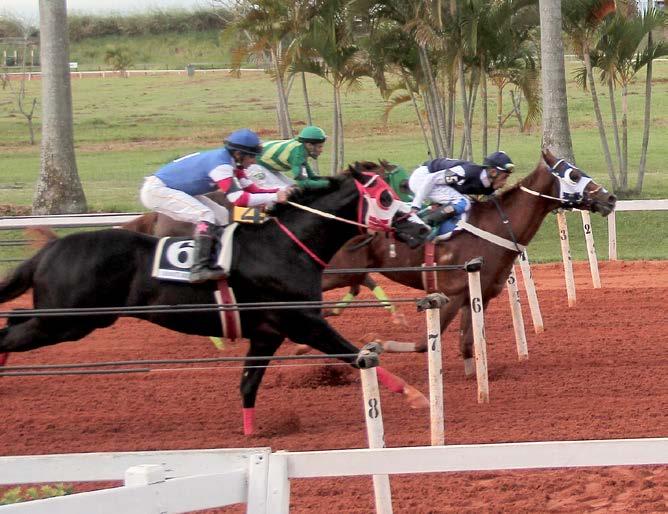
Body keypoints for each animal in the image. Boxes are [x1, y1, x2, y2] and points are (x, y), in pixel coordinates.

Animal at [0, 164, 428, 432]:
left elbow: (248, 385)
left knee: (12, 321)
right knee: (8, 334)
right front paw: (416, 396)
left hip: (63, 318)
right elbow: (356, 354)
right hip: (67, 320)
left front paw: (252, 434)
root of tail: (49, 250)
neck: (284, 246)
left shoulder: (268, 332)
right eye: (386, 197)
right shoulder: (304, 322)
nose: (422, 228)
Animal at [320, 148, 620, 372]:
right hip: (337, 272)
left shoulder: (476, 297)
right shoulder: (451, 295)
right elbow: (424, 344)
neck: (496, 227)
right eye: (574, 174)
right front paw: (377, 345)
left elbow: (467, 343)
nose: (611, 198)